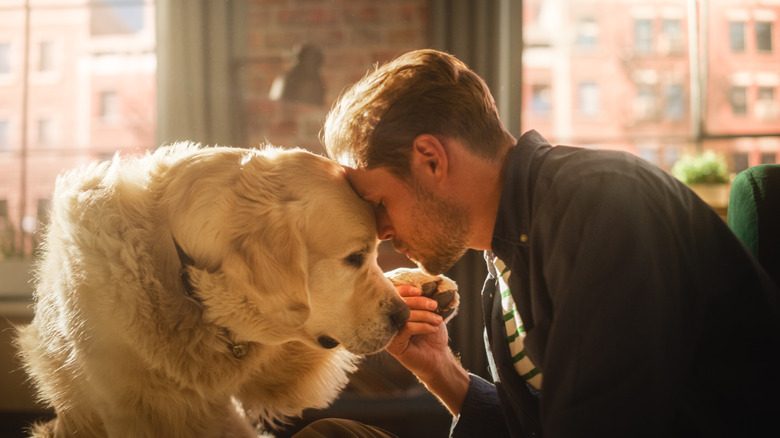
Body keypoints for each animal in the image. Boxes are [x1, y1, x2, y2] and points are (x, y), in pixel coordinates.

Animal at [15, 145, 458, 438]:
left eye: (373, 254)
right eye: (354, 257)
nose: (401, 316)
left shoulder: (272, 366)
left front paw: (421, 286)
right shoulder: (130, 404)